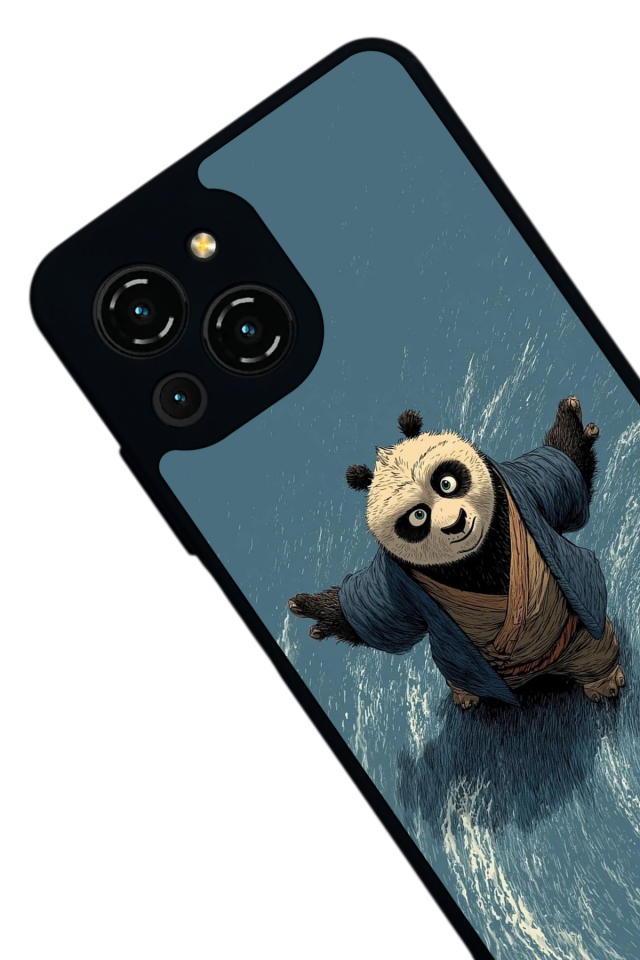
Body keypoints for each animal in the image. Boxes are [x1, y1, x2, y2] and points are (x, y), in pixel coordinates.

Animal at [289, 397, 625, 708]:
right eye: (418, 516)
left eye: (446, 483)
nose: (456, 524)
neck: (476, 557)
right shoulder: (395, 580)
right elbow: (382, 614)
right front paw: (316, 610)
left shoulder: (523, 488)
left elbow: (562, 472)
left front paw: (571, 424)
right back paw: (466, 695)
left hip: (579, 636)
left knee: (595, 650)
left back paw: (604, 681)